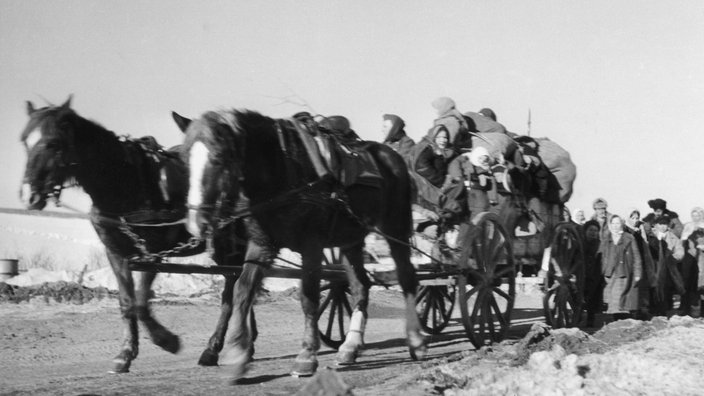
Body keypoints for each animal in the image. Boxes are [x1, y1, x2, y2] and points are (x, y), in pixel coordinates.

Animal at [19, 97, 253, 372]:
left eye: (53, 143)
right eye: (25, 141)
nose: (29, 195)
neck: (125, 181)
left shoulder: (152, 253)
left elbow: (141, 303)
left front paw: (167, 340)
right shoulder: (116, 252)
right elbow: (127, 302)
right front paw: (125, 353)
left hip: (231, 249)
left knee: (231, 294)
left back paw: (213, 349)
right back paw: (246, 345)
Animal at [179, 110, 426, 382]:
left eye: (218, 158)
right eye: (185, 159)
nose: (196, 222)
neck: (282, 171)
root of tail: (392, 156)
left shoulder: (312, 246)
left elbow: (308, 297)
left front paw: (306, 356)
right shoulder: (261, 245)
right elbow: (242, 291)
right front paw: (237, 355)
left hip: (395, 228)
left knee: (407, 278)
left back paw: (415, 340)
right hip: (350, 239)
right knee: (361, 286)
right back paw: (350, 346)